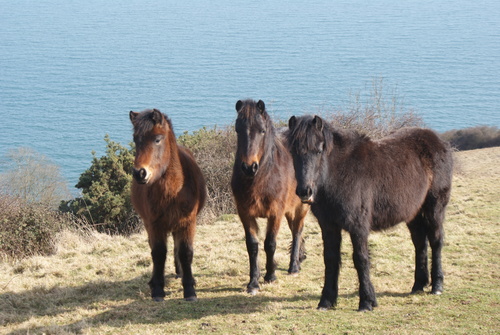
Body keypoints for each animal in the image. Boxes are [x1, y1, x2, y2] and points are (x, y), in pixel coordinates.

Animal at [131, 109, 207, 304]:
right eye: (135, 139)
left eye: (157, 139)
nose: (140, 173)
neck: (173, 190)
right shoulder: (155, 225)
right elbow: (158, 253)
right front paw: (158, 289)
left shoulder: (188, 223)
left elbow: (186, 252)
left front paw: (189, 289)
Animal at [232, 100, 310, 294]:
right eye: (238, 129)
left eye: (262, 130)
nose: (249, 167)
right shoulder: (245, 214)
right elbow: (252, 245)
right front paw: (253, 282)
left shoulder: (275, 213)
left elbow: (270, 243)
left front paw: (270, 275)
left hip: (301, 206)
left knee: (297, 230)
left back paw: (293, 267)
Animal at [286, 115, 454, 312]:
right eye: (293, 151)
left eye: (319, 150)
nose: (305, 191)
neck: (339, 174)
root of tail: (439, 142)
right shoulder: (328, 226)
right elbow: (330, 259)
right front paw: (326, 301)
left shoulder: (358, 226)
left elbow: (361, 259)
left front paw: (367, 301)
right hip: (414, 214)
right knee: (420, 243)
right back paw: (418, 285)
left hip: (435, 209)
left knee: (436, 241)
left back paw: (437, 286)